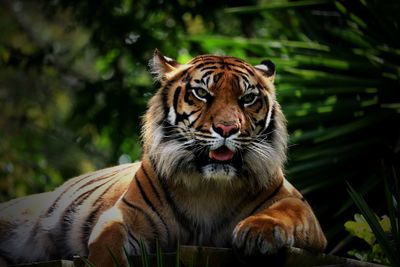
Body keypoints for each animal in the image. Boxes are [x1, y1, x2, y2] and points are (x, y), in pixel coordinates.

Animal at [0, 49, 326, 266]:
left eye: (247, 99)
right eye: (202, 93)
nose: (226, 128)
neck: (210, 187)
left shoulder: (304, 212)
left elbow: (287, 211)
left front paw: (258, 231)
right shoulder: (124, 216)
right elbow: (107, 246)